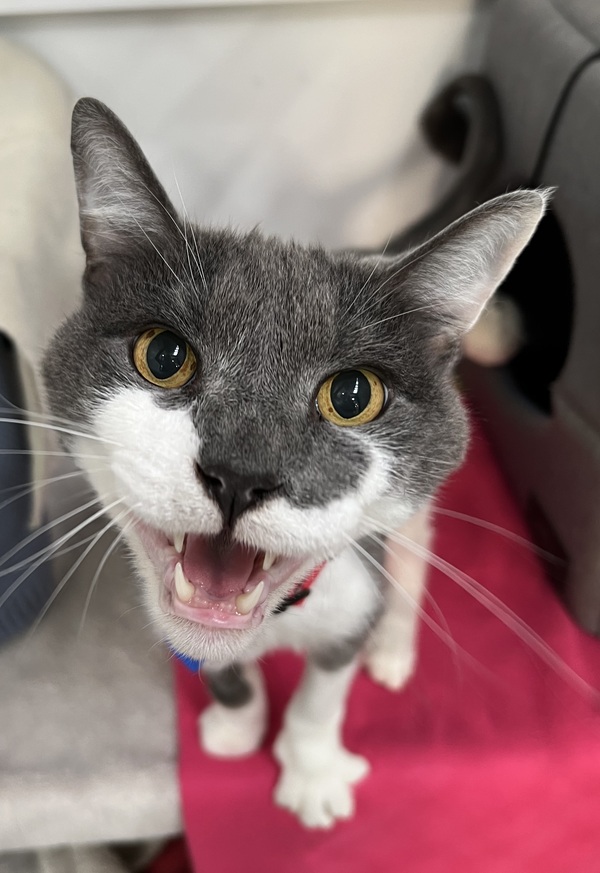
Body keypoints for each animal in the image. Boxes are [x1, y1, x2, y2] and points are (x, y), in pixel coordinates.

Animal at [41, 97, 547, 829]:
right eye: (164, 355)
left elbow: (322, 695)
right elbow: (216, 669)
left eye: (354, 396)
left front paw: (312, 772)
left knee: (415, 550)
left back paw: (395, 643)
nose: (240, 474)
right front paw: (237, 725)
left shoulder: (353, 590)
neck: (278, 619)